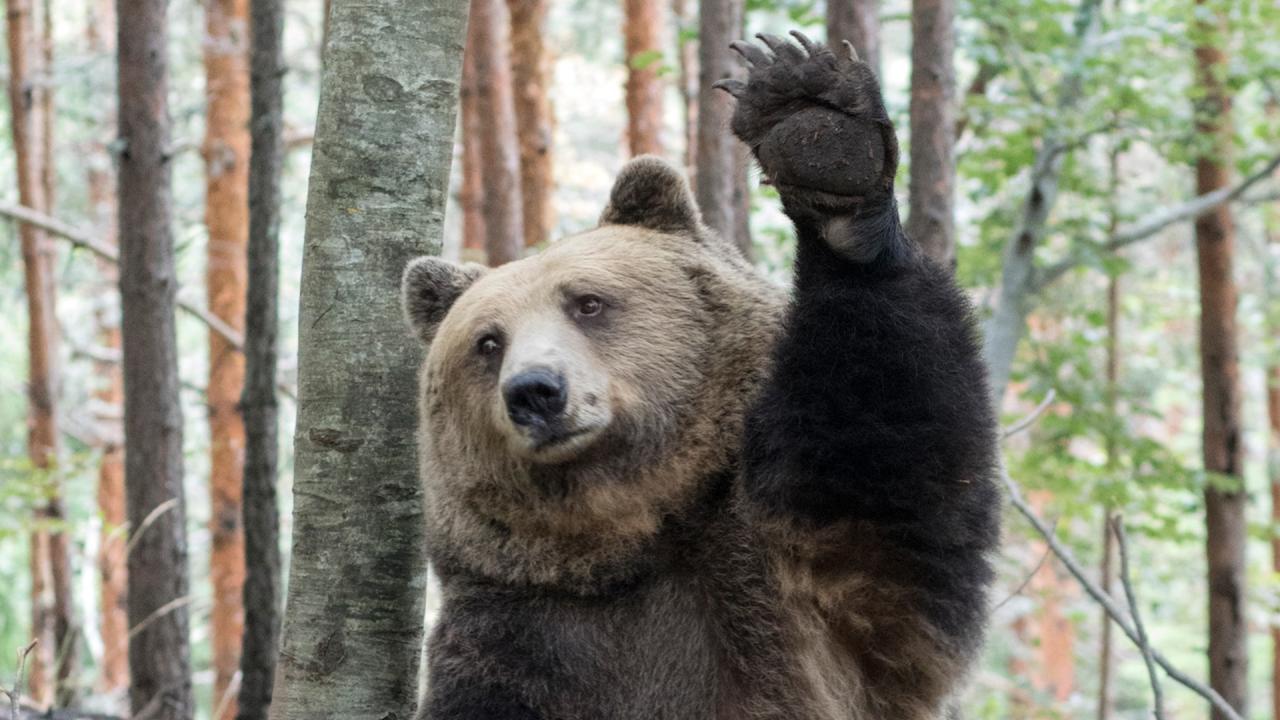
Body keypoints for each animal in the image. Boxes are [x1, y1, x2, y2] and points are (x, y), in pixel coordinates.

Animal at [399, 32, 998, 717]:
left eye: (587, 302)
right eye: (488, 341)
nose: (535, 392)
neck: (636, 536)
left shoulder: (793, 591)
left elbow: (890, 466)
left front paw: (815, 127)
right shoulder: (517, 635)